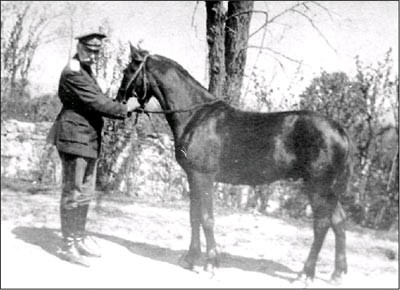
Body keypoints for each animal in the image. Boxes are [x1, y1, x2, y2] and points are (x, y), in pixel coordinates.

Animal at [117, 44, 352, 284]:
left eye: (129, 69)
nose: (119, 98)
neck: (196, 116)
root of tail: (340, 131)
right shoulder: (193, 177)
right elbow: (194, 216)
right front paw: (191, 259)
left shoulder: (203, 177)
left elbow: (206, 218)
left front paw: (210, 264)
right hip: (329, 190)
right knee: (339, 222)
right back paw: (337, 273)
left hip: (318, 187)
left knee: (322, 225)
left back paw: (306, 274)